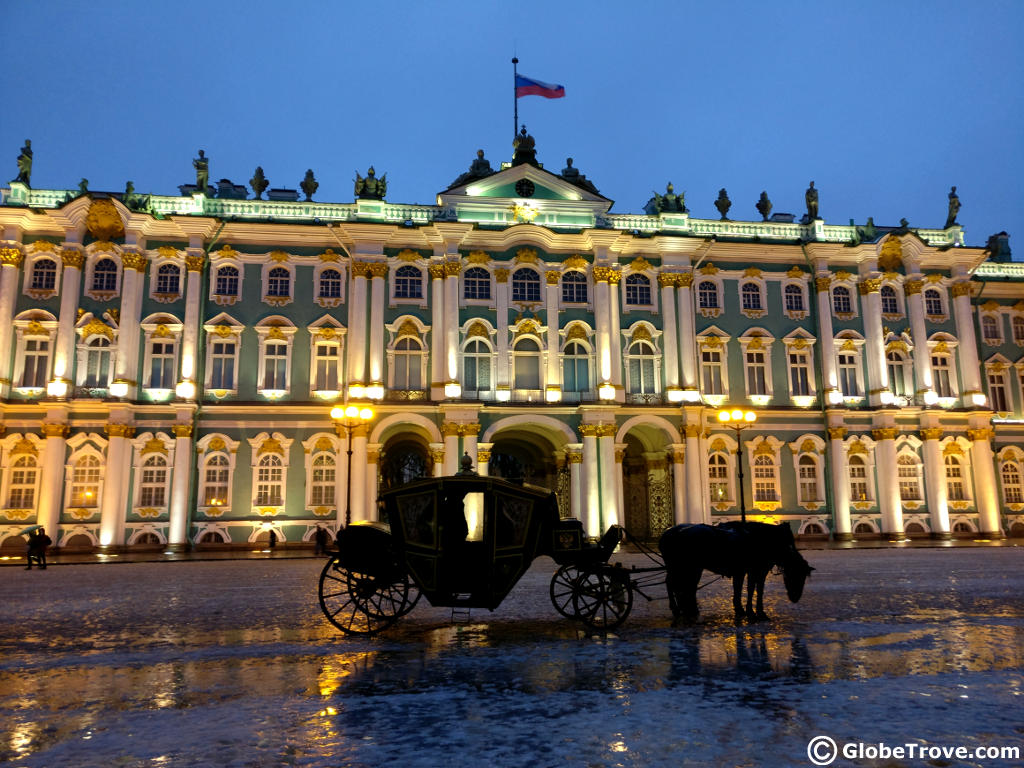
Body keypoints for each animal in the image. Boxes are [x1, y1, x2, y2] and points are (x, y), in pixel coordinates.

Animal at [655, 524, 815, 626]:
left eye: (804, 577)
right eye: (795, 575)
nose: (795, 598)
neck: (762, 541)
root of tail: (667, 535)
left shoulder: (745, 571)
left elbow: (744, 589)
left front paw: (743, 610)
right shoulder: (756, 570)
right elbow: (753, 590)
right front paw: (755, 613)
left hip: (684, 568)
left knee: (680, 586)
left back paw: (685, 610)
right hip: (687, 567)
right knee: (680, 586)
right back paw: (684, 610)